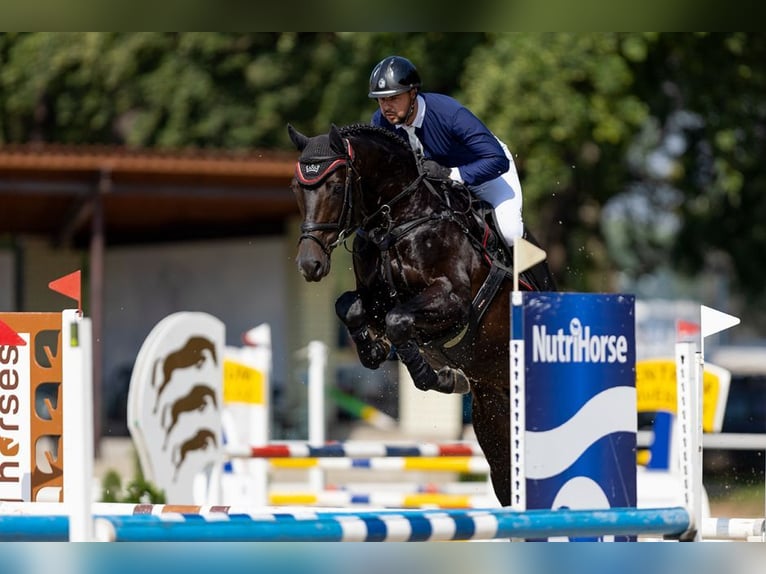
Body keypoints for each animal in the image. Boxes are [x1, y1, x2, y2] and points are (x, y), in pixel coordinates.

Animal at [287, 122, 556, 507]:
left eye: (336, 186)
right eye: (297, 188)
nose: (310, 265)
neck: (400, 220)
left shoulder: (454, 302)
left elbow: (398, 321)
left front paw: (439, 376)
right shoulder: (374, 298)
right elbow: (349, 308)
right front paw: (376, 350)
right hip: (494, 418)